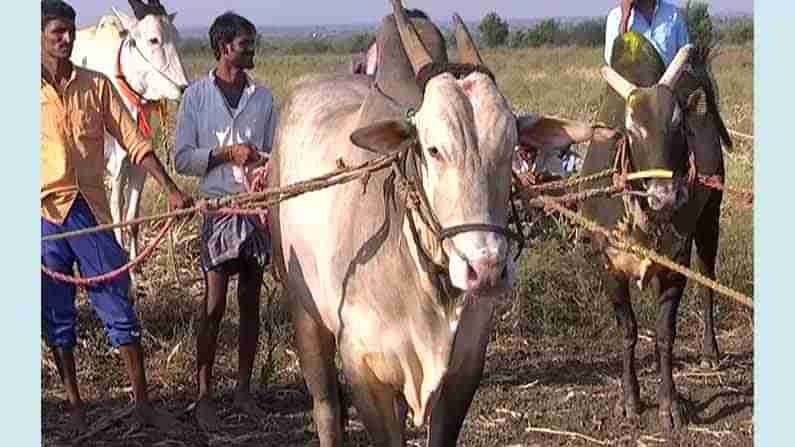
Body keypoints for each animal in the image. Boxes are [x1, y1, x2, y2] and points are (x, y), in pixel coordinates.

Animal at [70, 0, 189, 272]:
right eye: (153, 39)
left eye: (177, 37)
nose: (183, 87)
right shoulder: (116, 168)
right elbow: (117, 216)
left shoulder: (139, 165)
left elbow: (133, 218)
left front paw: (135, 267)